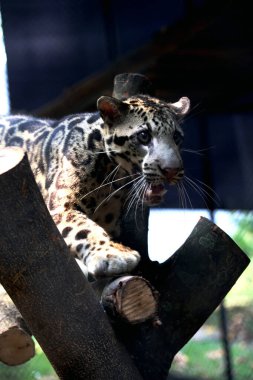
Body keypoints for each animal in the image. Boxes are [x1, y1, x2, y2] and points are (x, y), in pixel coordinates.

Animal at [0, 92, 190, 276]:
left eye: (176, 137)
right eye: (144, 136)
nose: (172, 170)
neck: (110, 178)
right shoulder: (60, 208)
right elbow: (83, 228)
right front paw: (112, 254)